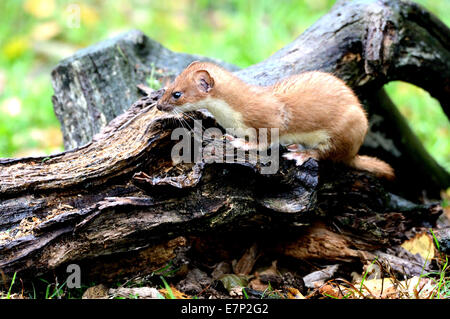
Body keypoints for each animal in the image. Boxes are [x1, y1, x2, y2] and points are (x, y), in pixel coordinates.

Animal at [156, 60, 396, 180]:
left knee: (329, 154)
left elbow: (265, 140)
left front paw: (242, 142)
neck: (232, 114)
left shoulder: (270, 118)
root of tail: (355, 150)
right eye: (168, 86)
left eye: (177, 94)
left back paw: (301, 153)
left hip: (347, 127)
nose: (159, 105)